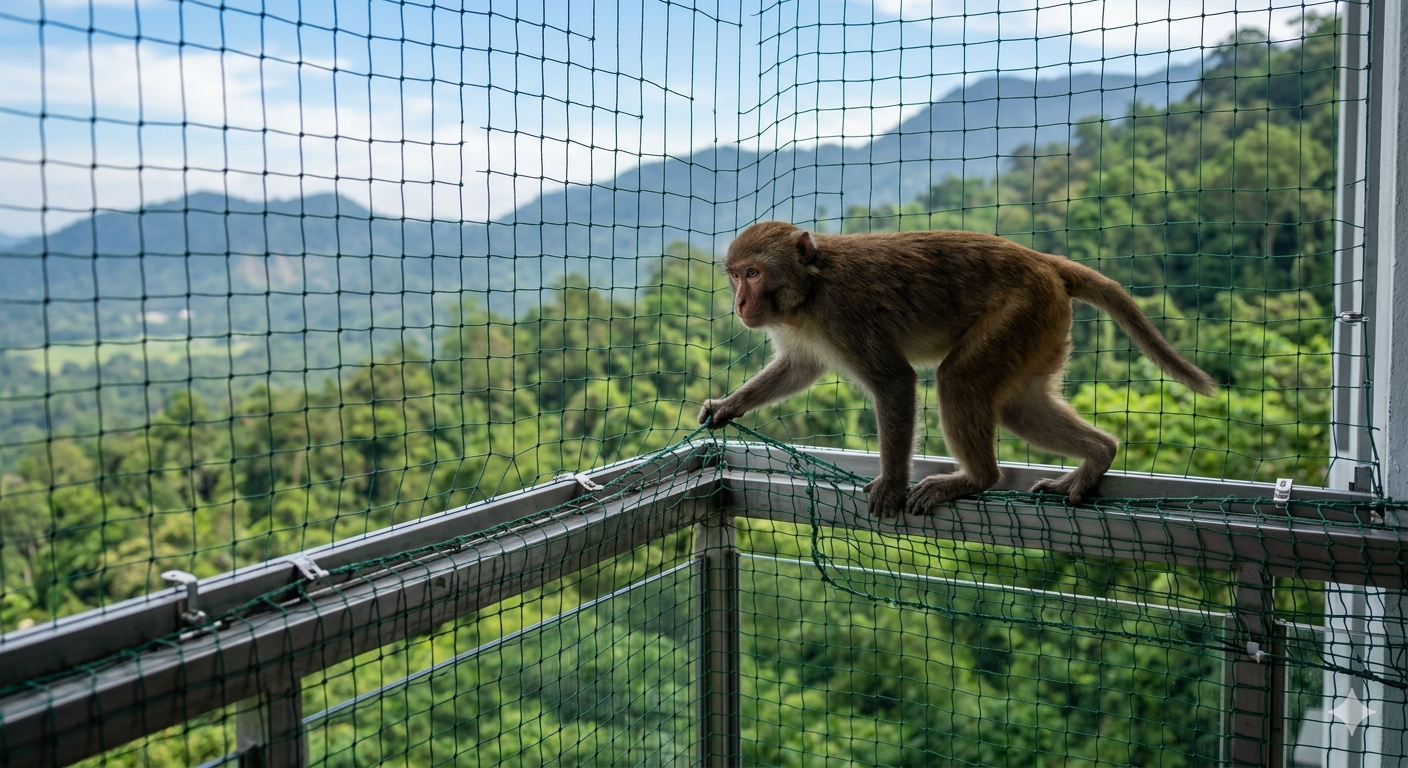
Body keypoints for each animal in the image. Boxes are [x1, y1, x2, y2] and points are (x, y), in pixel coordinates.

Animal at [698, 221, 1216, 518]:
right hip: (1041, 329)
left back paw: (976, 479)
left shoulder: (844, 317)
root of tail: (1043, 262)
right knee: (1020, 406)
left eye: (753, 274)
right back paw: (1098, 456)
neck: (809, 291)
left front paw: (892, 484)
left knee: (959, 379)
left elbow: (895, 382)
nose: (739, 303)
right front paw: (728, 405)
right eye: (735, 275)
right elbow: (798, 368)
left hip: (1020, 312)